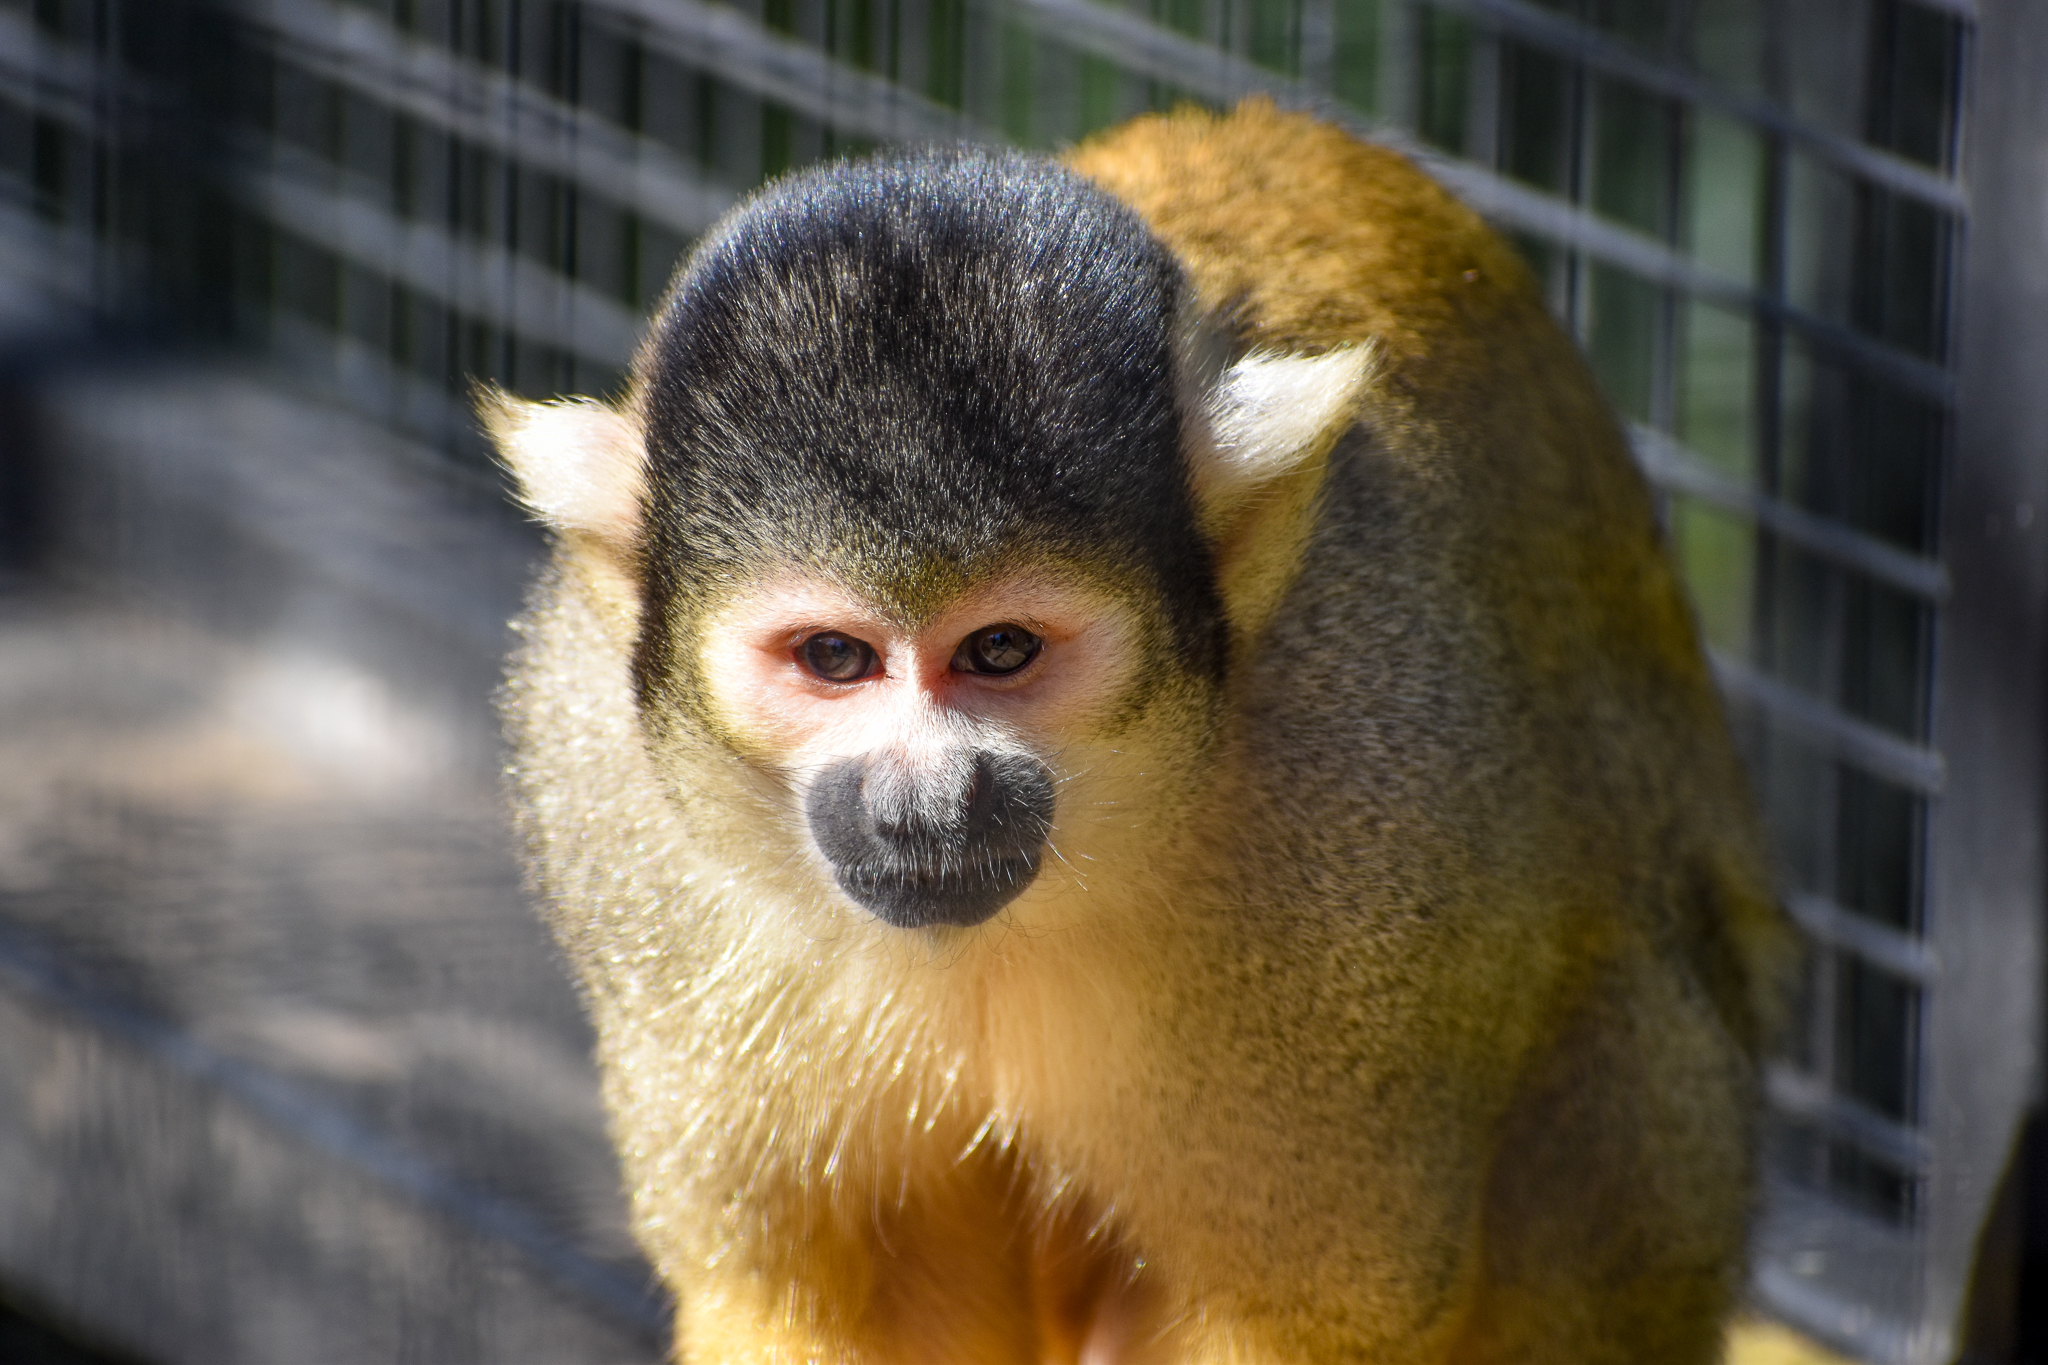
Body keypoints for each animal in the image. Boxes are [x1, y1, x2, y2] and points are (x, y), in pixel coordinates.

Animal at [485, 98, 1788, 1364]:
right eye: (834, 659)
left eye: (999, 651)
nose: (925, 803)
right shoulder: (604, 789)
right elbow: (815, 1301)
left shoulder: (1381, 798)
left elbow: (1316, 1313)